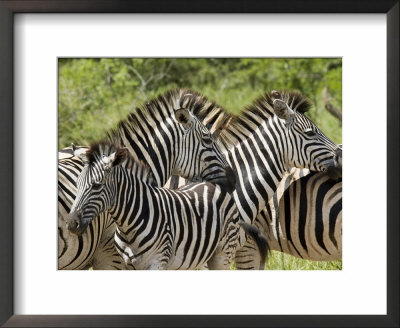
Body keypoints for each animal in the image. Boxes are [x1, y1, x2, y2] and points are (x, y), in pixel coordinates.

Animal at [66, 142, 268, 270]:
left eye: (97, 186)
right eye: (77, 184)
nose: (71, 224)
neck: (129, 223)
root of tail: (213, 184)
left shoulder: (157, 262)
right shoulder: (128, 265)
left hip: (223, 253)